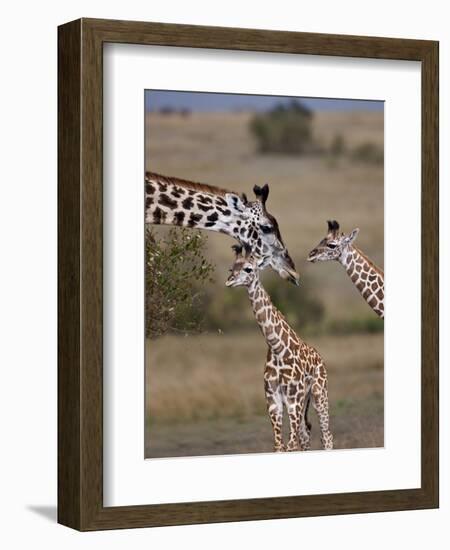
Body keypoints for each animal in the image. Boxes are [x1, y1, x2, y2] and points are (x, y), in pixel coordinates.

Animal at [225, 246, 334, 452]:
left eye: (248, 269)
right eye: (231, 268)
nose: (229, 281)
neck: (277, 349)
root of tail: (320, 357)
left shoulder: (293, 402)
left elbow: (290, 445)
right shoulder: (273, 402)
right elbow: (279, 446)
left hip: (318, 394)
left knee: (327, 436)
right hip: (305, 402)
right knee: (305, 434)